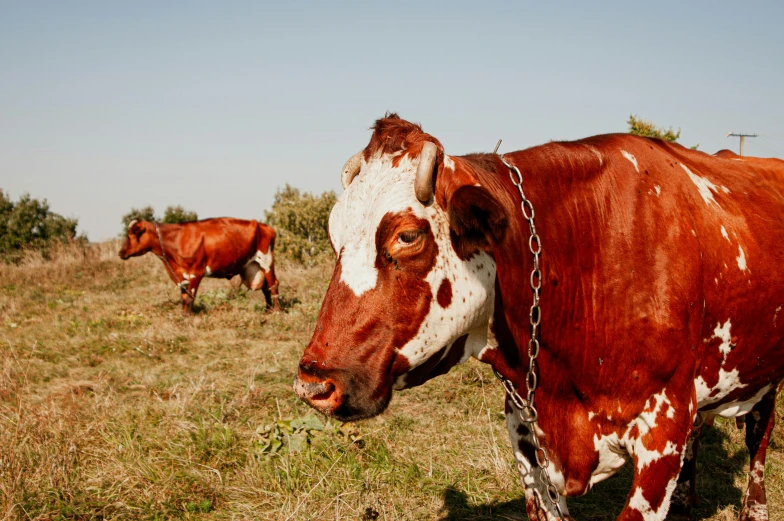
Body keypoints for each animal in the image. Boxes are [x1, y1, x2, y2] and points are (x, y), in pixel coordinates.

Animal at [119, 216, 282, 312]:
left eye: (133, 233)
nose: (121, 252)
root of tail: (266, 227)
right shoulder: (182, 276)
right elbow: (184, 298)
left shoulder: (195, 273)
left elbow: (189, 298)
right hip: (255, 265)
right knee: (266, 288)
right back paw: (268, 311)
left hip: (266, 261)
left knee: (273, 285)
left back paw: (277, 311)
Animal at [292, 115, 784, 520]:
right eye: (333, 234)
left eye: (407, 235)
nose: (313, 384)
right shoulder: (524, 430)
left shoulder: (664, 426)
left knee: (759, 435)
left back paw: (754, 508)